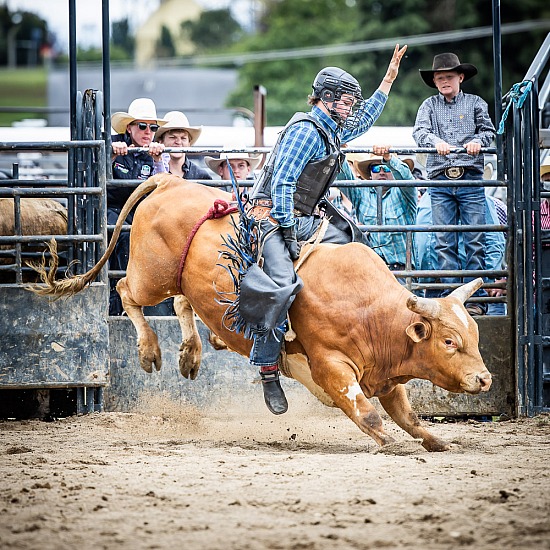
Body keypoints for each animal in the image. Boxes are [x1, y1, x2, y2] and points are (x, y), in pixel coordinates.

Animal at [32, 176, 494, 452]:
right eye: (449, 341)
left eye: (475, 335)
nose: (484, 379)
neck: (369, 309)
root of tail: (172, 180)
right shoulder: (331, 366)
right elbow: (368, 413)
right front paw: (394, 444)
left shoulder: (386, 375)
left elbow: (408, 416)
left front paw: (437, 442)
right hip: (151, 276)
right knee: (127, 291)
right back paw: (150, 350)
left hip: (182, 283)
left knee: (183, 303)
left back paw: (193, 352)